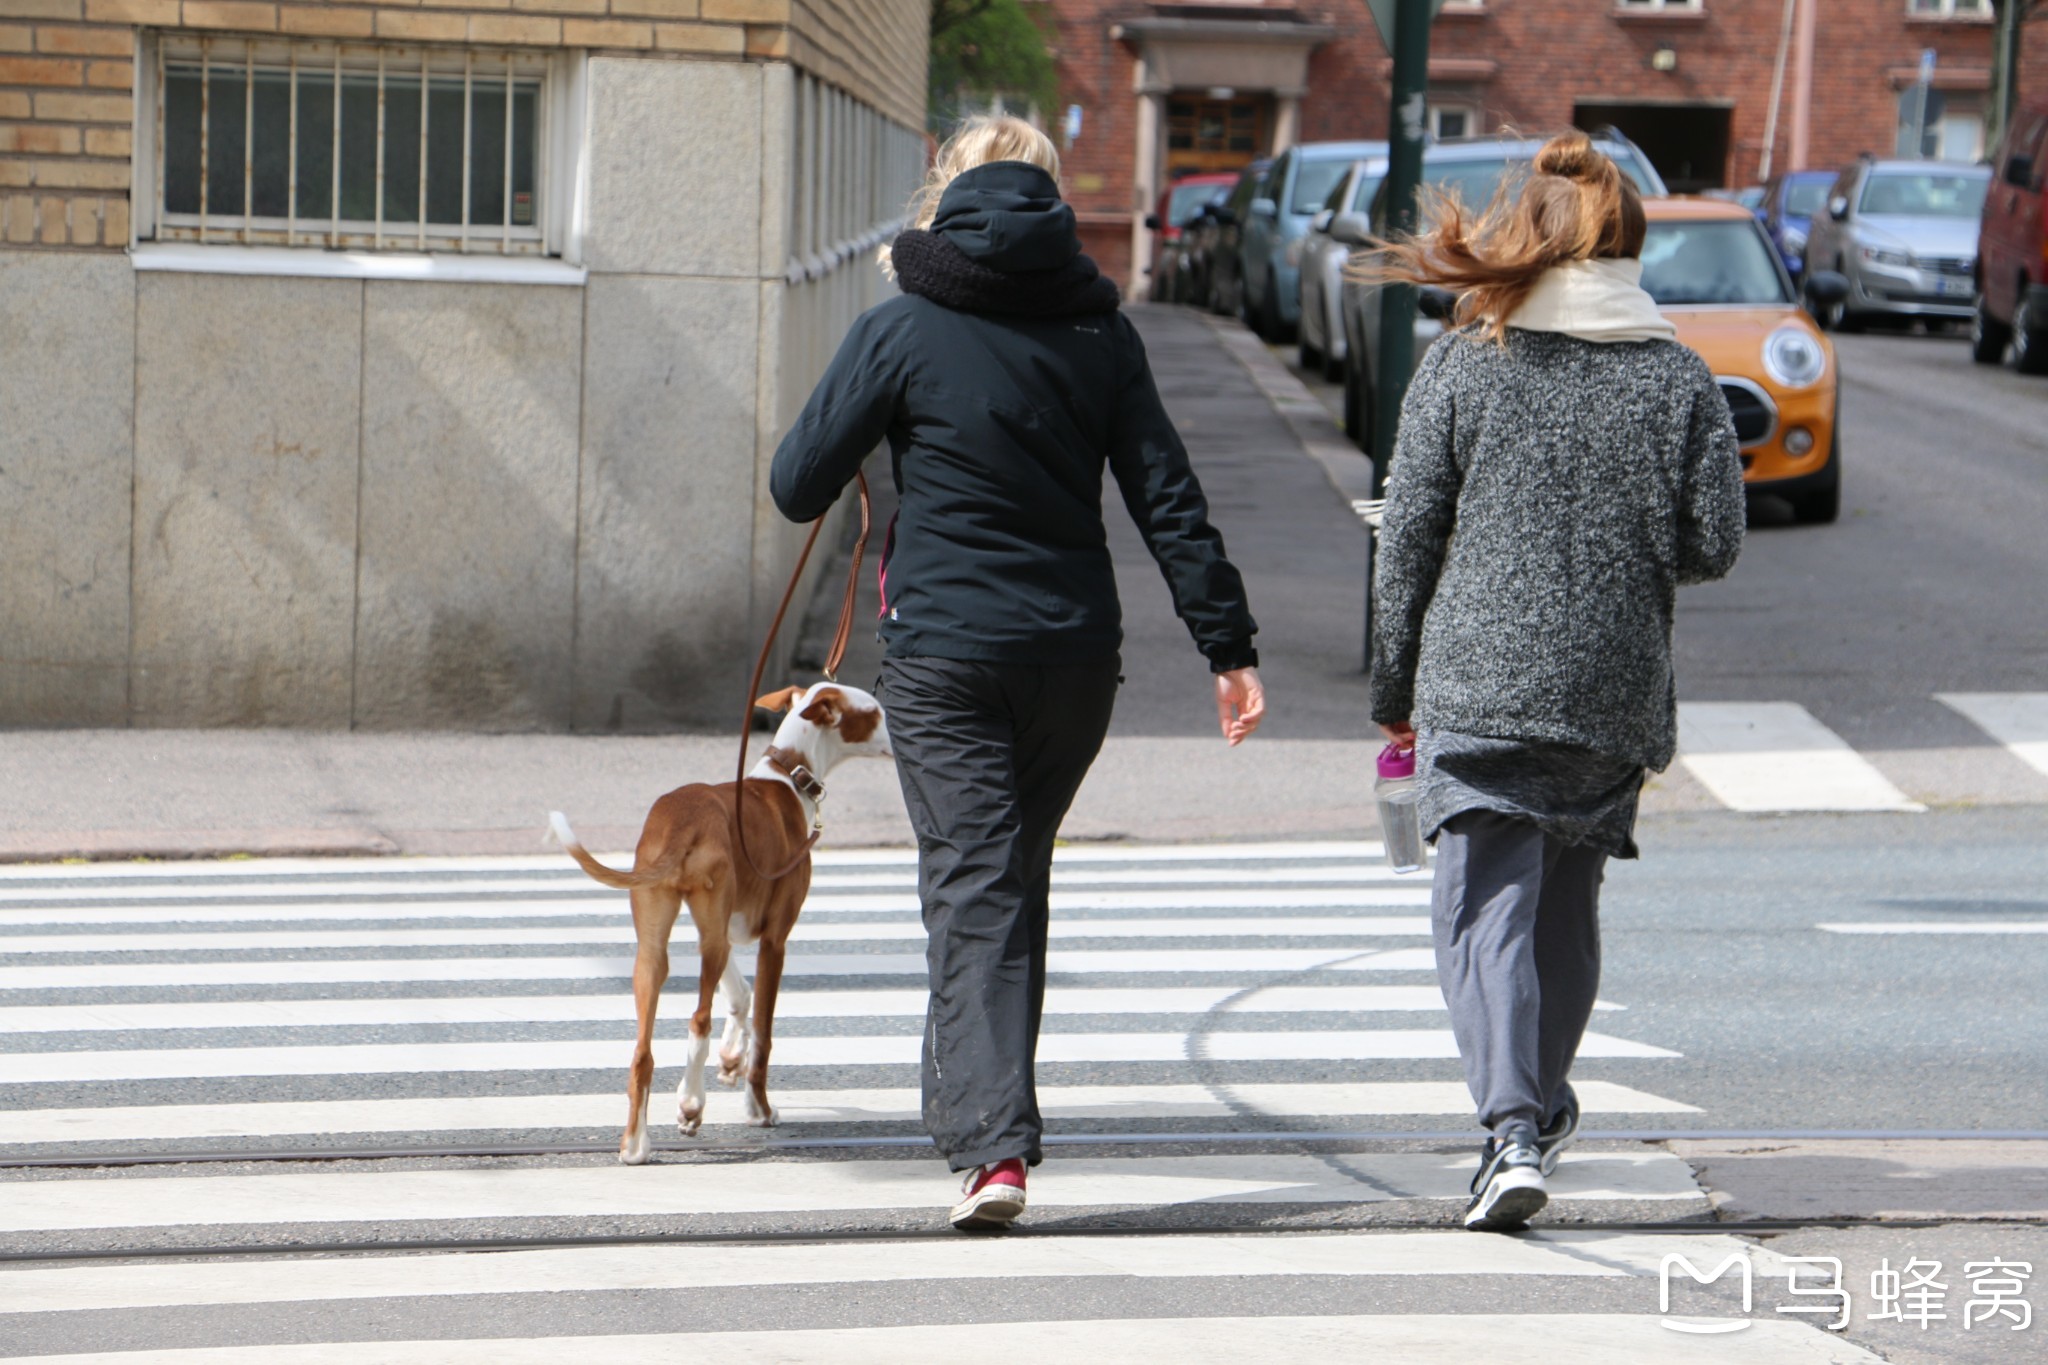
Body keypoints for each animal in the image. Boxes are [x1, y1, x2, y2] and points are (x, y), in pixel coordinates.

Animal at [548, 683, 892, 1162]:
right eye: (875, 711)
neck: (789, 774)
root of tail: (681, 821)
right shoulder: (774, 940)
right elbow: (763, 1032)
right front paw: (758, 1108)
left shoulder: (722, 927)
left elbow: (741, 995)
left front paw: (730, 1058)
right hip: (705, 934)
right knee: (698, 1022)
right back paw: (691, 1104)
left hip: (657, 947)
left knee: (643, 1051)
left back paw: (636, 1144)